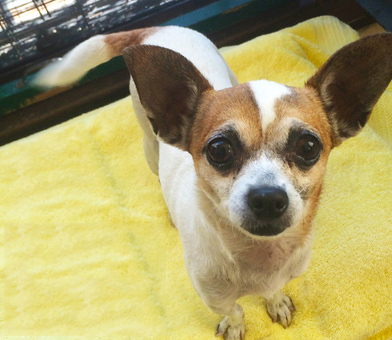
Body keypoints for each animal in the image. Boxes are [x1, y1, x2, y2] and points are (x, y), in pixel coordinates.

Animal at [34, 25, 392, 338]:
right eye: (219, 149)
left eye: (309, 147)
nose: (267, 197)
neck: (257, 257)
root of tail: (154, 28)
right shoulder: (213, 296)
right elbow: (234, 309)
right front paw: (235, 326)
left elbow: (274, 290)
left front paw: (275, 302)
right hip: (149, 145)